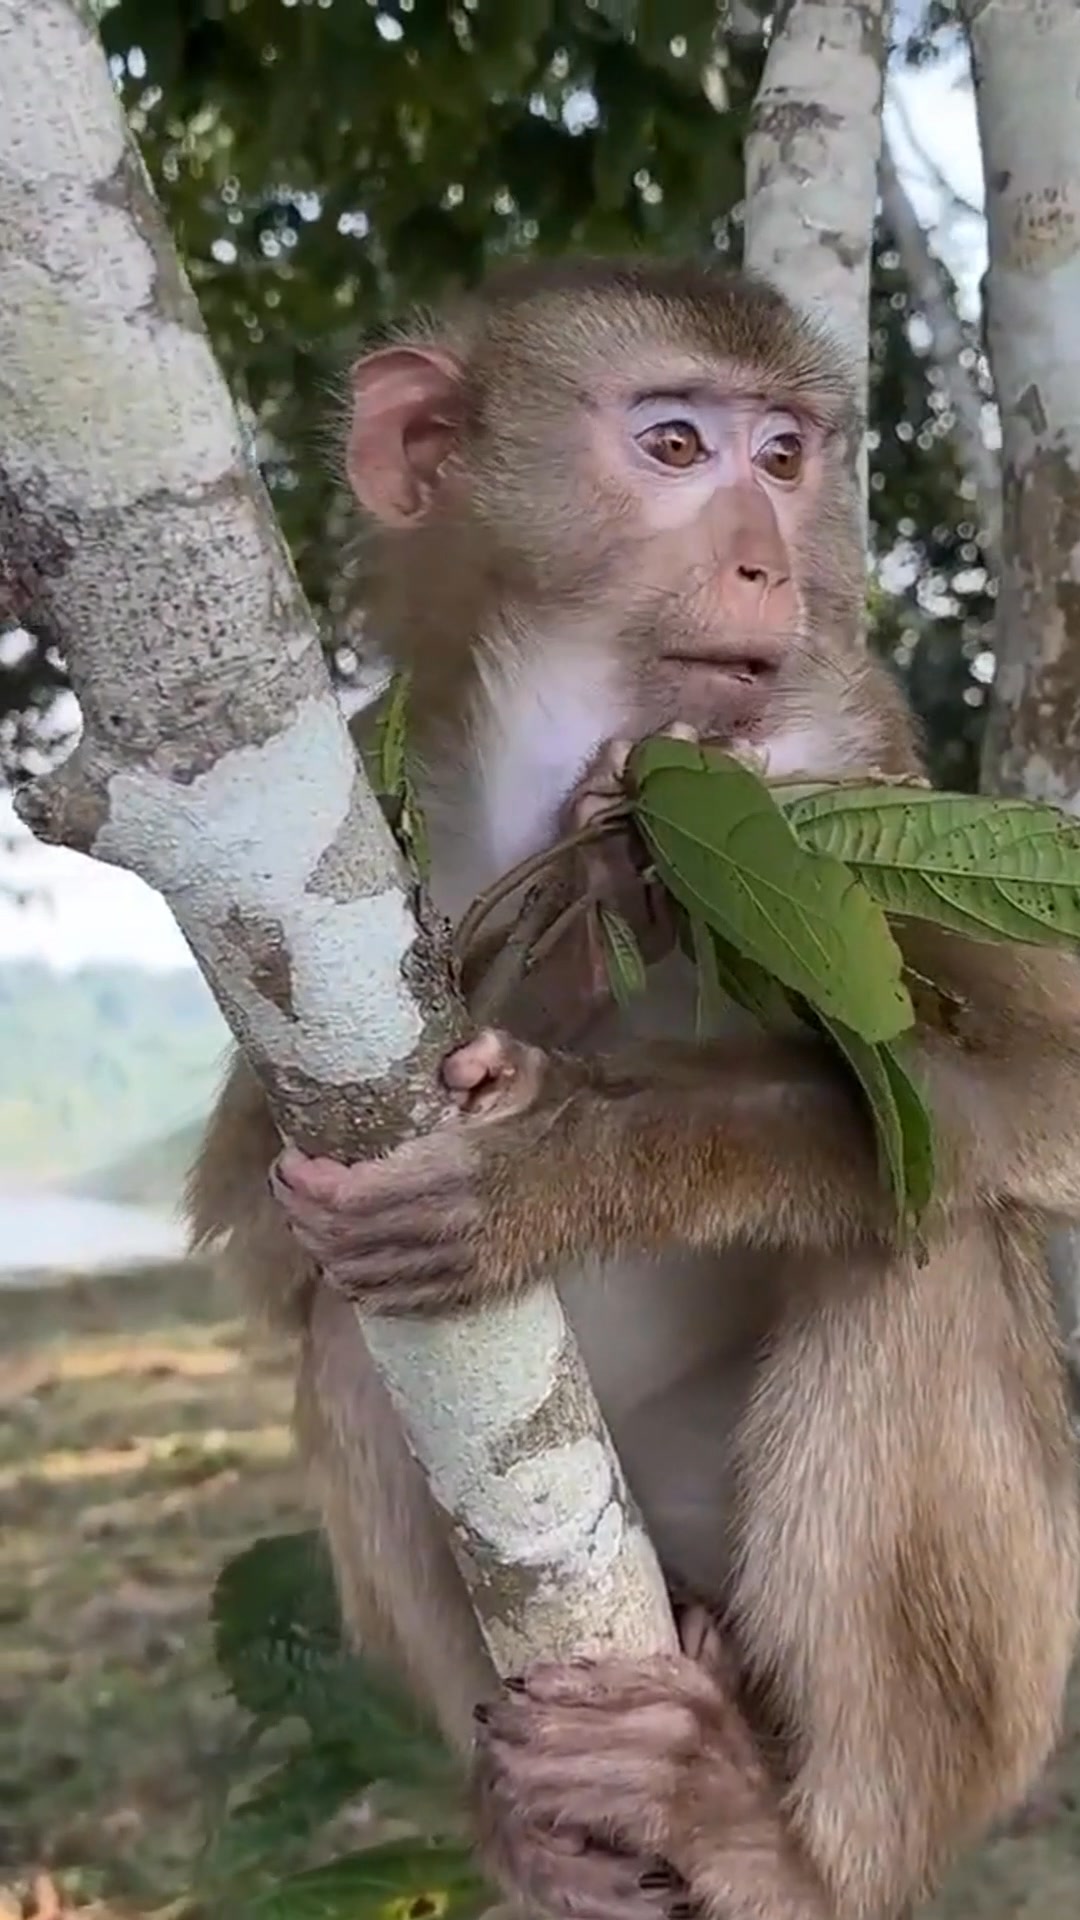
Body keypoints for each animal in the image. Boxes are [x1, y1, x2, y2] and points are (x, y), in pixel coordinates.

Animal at [187, 258, 1080, 1920]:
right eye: (674, 446)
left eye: (784, 457)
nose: (767, 564)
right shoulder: (343, 803)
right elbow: (260, 1230)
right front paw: (550, 951)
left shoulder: (830, 761)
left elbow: (1045, 1088)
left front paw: (561, 1150)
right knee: (347, 1335)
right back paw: (531, 1829)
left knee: (917, 1240)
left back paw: (778, 1843)